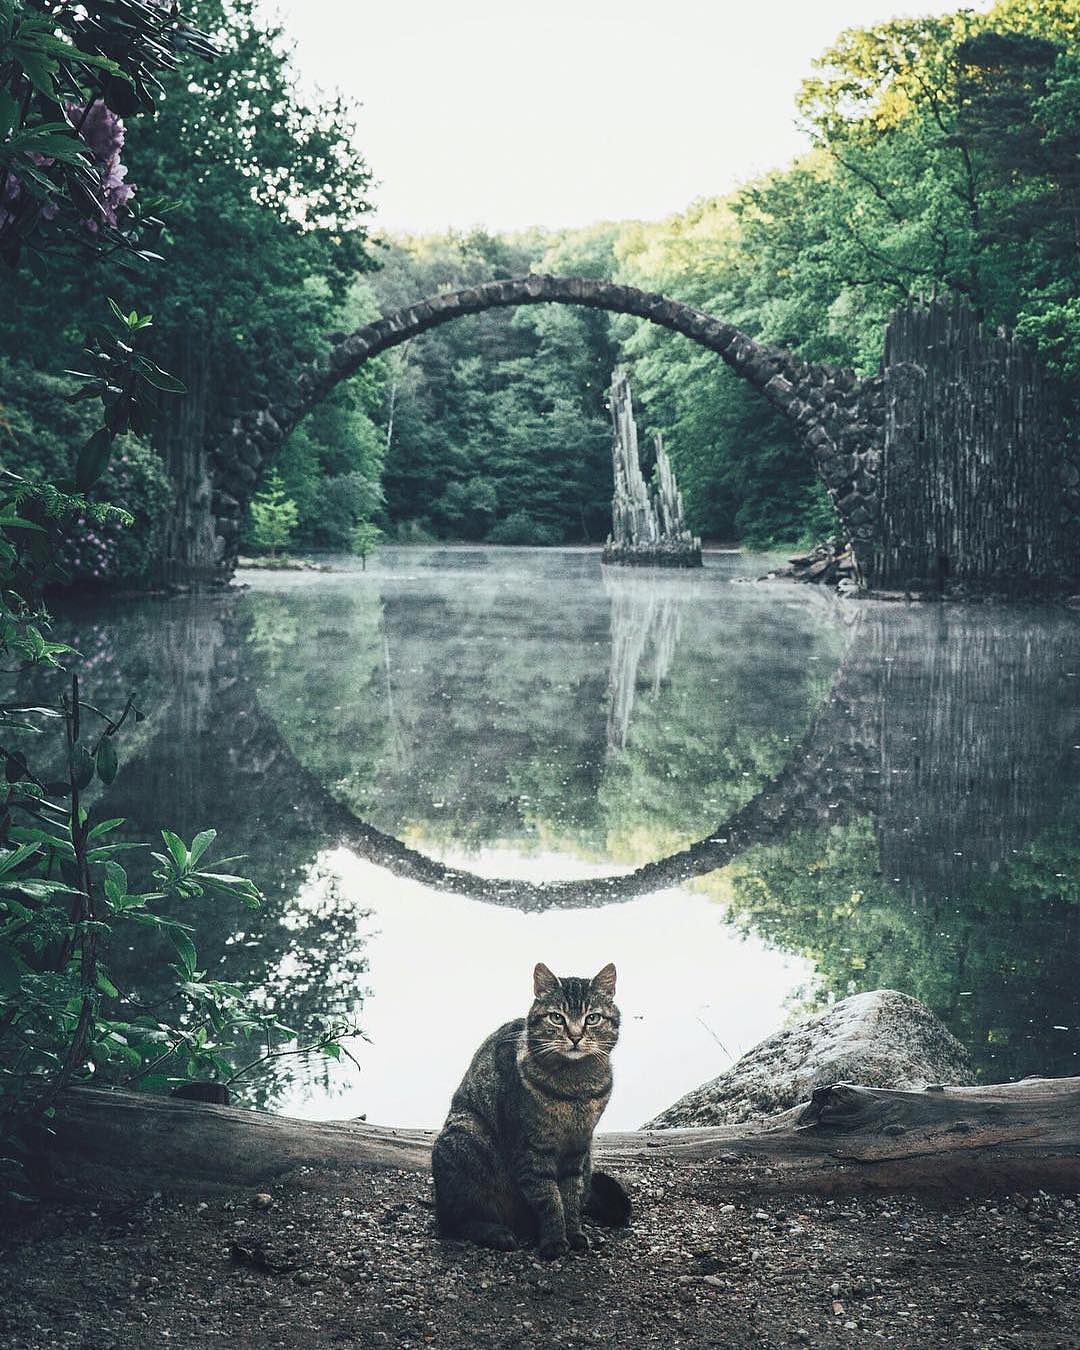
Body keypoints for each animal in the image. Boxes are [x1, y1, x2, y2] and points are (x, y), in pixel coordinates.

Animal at [429, 961, 615, 1252]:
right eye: (557, 1018)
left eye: (592, 1018)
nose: (575, 1036)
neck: (575, 1089)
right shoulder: (530, 1147)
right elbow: (548, 1198)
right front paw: (554, 1241)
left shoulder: (578, 1148)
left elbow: (570, 1196)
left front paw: (573, 1233)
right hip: (464, 1137)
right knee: (454, 1221)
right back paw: (496, 1232)